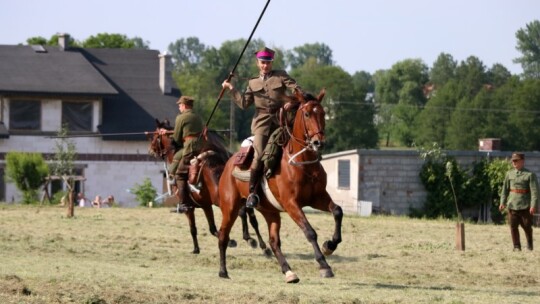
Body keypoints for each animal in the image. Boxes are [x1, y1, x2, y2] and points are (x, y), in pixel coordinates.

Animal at [147, 121, 268, 256]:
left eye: (155, 136)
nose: (150, 151)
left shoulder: (190, 208)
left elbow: (194, 229)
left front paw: (196, 249)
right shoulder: (206, 205)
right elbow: (212, 228)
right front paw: (230, 241)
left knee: (243, 214)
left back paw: (253, 241)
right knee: (251, 218)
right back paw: (262, 245)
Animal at [218, 88, 342, 282]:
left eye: (323, 113)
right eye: (307, 114)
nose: (318, 142)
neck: (303, 162)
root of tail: (229, 162)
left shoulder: (318, 198)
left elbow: (337, 211)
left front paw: (329, 245)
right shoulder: (291, 204)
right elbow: (309, 231)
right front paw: (324, 265)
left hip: (271, 212)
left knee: (274, 242)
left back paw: (289, 272)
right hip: (230, 207)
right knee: (223, 235)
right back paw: (223, 271)